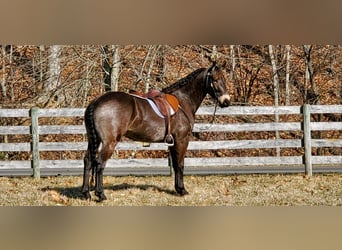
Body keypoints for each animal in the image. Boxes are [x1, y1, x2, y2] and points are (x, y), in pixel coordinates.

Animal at [81, 61, 230, 200]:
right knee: (99, 163)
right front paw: (182, 190)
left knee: (88, 161)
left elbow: (175, 165)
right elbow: (180, 164)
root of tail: (97, 102)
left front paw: (177, 189)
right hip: (109, 142)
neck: (183, 101)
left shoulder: (173, 142)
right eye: (215, 79)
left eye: (224, 78)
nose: (226, 101)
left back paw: (86, 193)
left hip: (94, 140)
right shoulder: (182, 140)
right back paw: (100, 194)